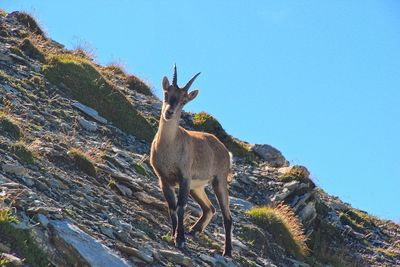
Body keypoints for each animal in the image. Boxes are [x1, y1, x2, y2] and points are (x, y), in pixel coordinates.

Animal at [149, 65, 231, 258]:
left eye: (184, 101)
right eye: (166, 93)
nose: (169, 112)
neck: (169, 147)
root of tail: (225, 150)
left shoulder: (184, 177)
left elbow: (181, 207)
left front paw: (180, 240)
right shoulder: (164, 180)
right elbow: (171, 207)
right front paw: (173, 235)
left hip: (219, 181)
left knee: (227, 216)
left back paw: (227, 251)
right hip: (197, 187)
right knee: (210, 208)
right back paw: (195, 230)